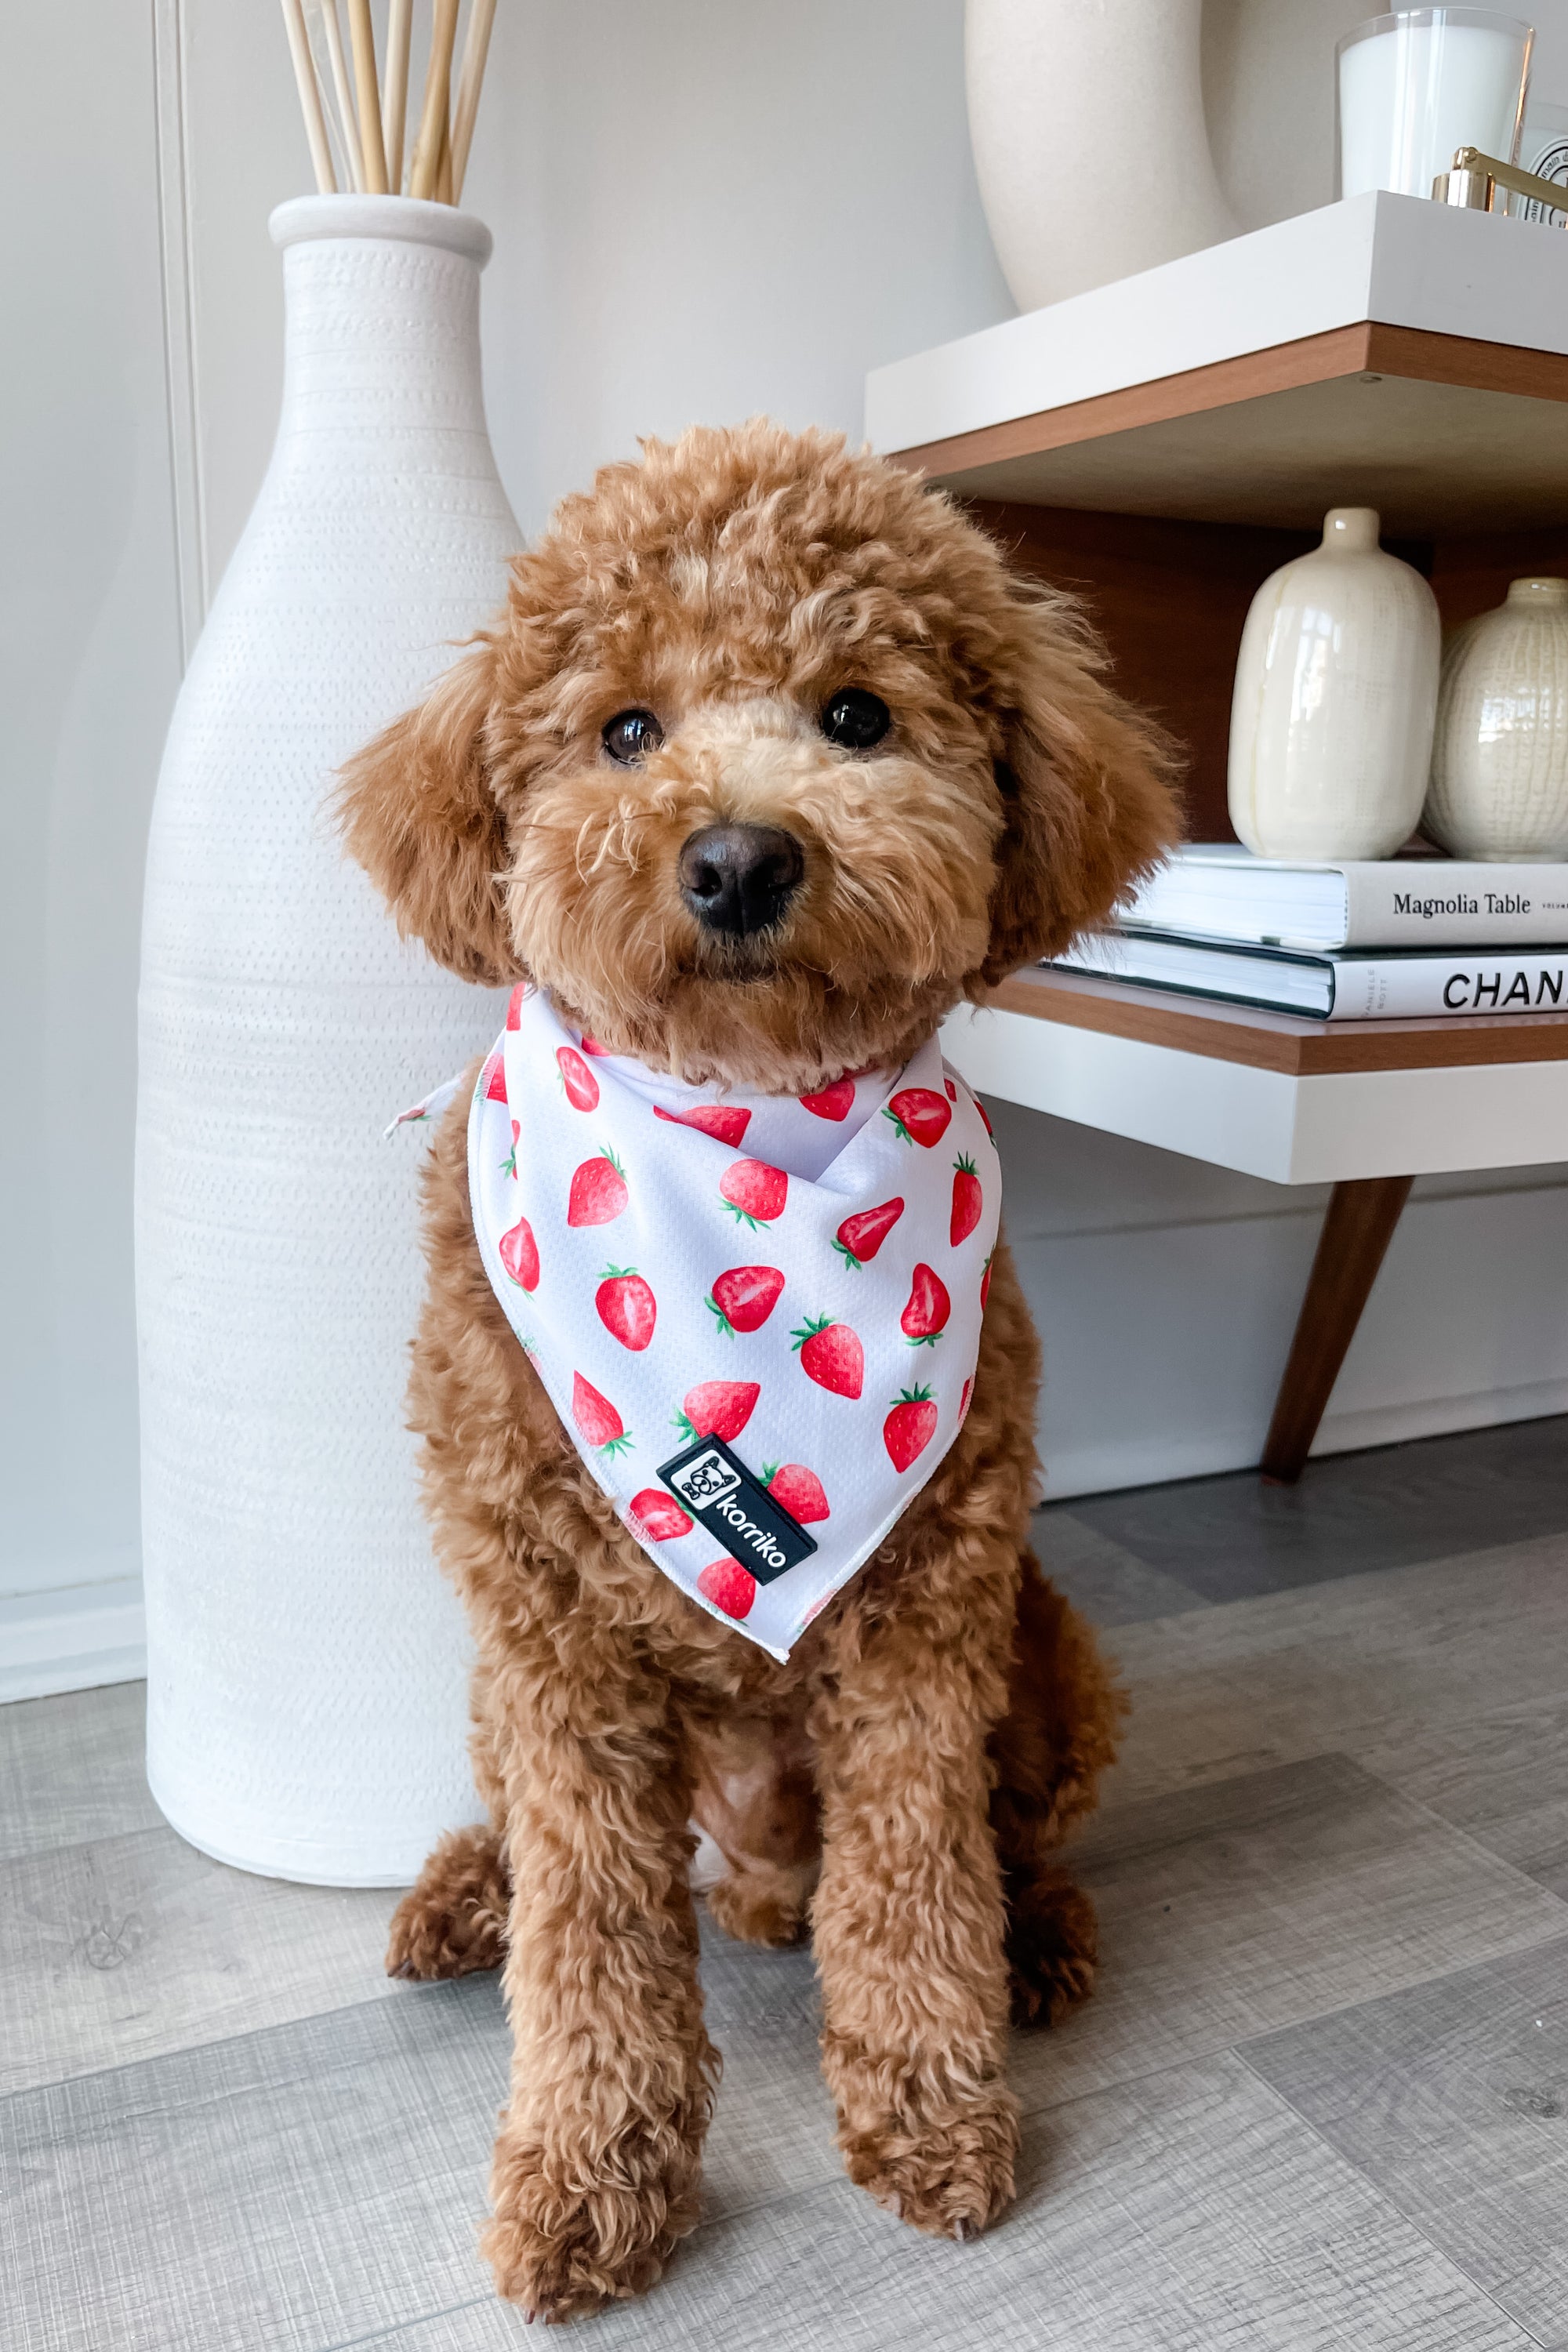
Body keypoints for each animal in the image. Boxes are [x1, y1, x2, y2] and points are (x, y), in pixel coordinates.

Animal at [343, 419, 1175, 2314]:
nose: (734, 860)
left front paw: (934, 2111)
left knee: (1004, 1848)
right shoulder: (553, 1651)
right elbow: (589, 1948)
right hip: (497, 1700)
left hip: (1048, 1658)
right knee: (549, 1862)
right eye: (622, 730)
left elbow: (916, 1889)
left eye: (856, 714)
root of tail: (748, 1873)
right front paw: (592, 2180)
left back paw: (1040, 1946)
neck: (743, 1137)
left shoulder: (928, 1629)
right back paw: (463, 1897)